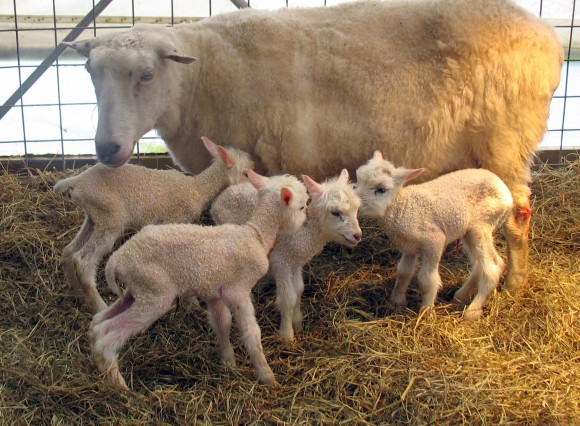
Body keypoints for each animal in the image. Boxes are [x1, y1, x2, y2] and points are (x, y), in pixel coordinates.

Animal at [53, 136, 251, 312]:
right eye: (246, 172)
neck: (197, 188)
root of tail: (78, 181)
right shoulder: (175, 221)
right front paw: (192, 302)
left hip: (94, 218)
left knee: (69, 251)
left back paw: (77, 293)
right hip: (110, 219)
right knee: (82, 262)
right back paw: (99, 306)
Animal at [62, 0, 560, 292]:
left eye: (146, 74)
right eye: (89, 73)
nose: (107, 149)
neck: (197, 81)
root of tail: (547, 37)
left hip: (506, 142)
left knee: (519, 213)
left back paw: (514, 283)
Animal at [89, 168, 310, 388]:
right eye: (301, 206)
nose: (305, 221)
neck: (255, 234)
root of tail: (117, 260)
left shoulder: (214, 292)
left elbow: (222, 323)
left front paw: (229, 362)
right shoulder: (237, 291)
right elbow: (251, 333)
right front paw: (267, 377)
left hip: (136, 291)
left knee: (97, 323)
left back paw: (100, 365)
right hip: (154, 293)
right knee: (106, 336)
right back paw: (120, 385)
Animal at [211, 168, 360, 342]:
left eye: (356, 208)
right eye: (335, 212)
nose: (358, 235)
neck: (304, 232)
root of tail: (225, 193)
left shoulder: (296, 262)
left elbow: (299, 290)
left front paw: (298, 322)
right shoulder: (280, 261)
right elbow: (288, 299)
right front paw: (287, 335)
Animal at [354, 151, 512, 322]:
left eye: (382, 189)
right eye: (358, 179)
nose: (353, 205)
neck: (403, 207)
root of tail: (506, 192)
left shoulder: (434, 241)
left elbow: (427, 279)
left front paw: (426, 311)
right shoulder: (409, 247)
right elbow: (403, 272)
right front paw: (397, 301)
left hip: (481, 225)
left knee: (492, 267)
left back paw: (473, 310)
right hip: (471, 231)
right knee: (484, 264)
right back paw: (461, 296)